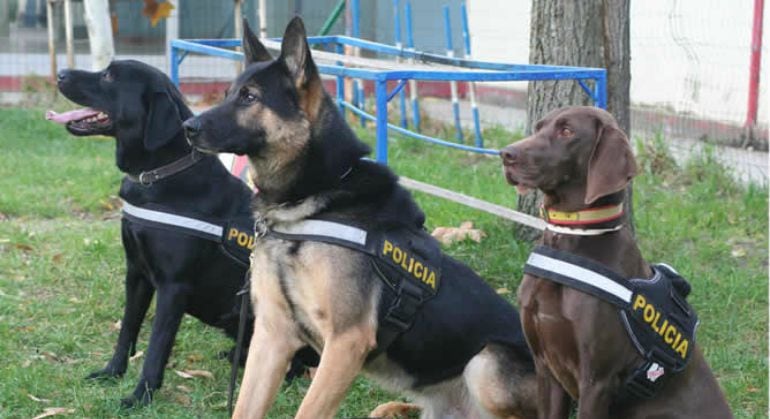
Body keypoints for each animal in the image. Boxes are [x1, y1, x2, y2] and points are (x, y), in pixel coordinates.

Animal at [50, 60, 312, 408]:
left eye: (109, 76)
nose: (61, 74)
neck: (157, 176)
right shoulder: (136, 274)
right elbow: (127, 329)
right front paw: (112, 372)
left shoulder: (173, 287)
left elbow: (156, 348)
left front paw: (139, 397)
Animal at [184, 18, 536, 418]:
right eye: (228, 93)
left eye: (250, 97)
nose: (188, 127)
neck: (310, 203)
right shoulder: (272, 337)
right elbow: (245, 407)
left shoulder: (345, 342)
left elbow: (307, 411)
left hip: (486, 363)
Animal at [498, 106, 732, 418]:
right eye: (538, 127)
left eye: (567, 131)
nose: (505, 154)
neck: (571, 240)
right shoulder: (545, 368)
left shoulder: (596, 381)